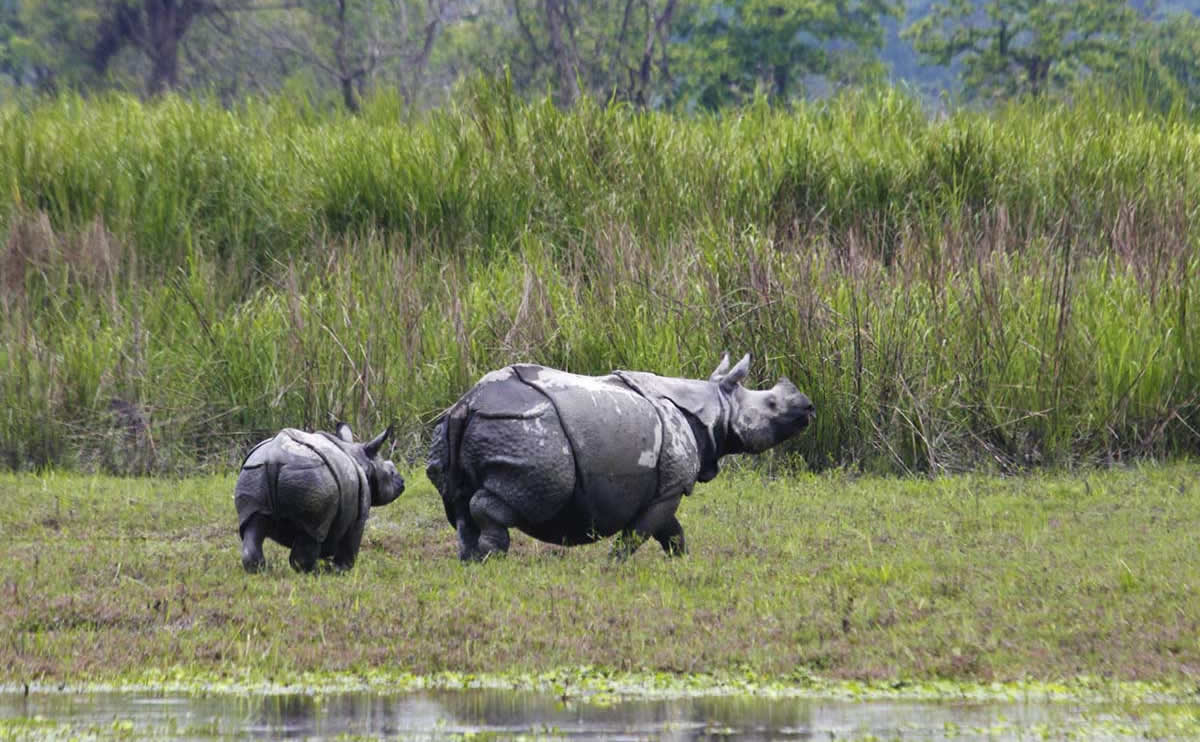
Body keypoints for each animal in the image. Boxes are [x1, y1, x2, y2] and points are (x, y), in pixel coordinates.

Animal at [234, 422, 408, 571]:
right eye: (391, 472)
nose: (402, 482)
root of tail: (274, 458)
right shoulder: (360, 514)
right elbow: (351, 541)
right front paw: (341, 570)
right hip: (311, 476)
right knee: (312, 532)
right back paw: (315, 572)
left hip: (253, 473)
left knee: (253, 525)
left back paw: (261, 570)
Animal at [429, 355, 816, 557]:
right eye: (772, 404)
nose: (810, 407)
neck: (718, 405)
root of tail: (468, 403)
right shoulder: (670, 487)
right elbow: (641, 531)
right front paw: (615, 564)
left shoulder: (664, 488)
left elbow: (672, 532)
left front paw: (682, 562)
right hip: (523, 428)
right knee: (521, 493)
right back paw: (494, 557)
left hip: (459, 428)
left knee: (459, 505)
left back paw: (472, 560)